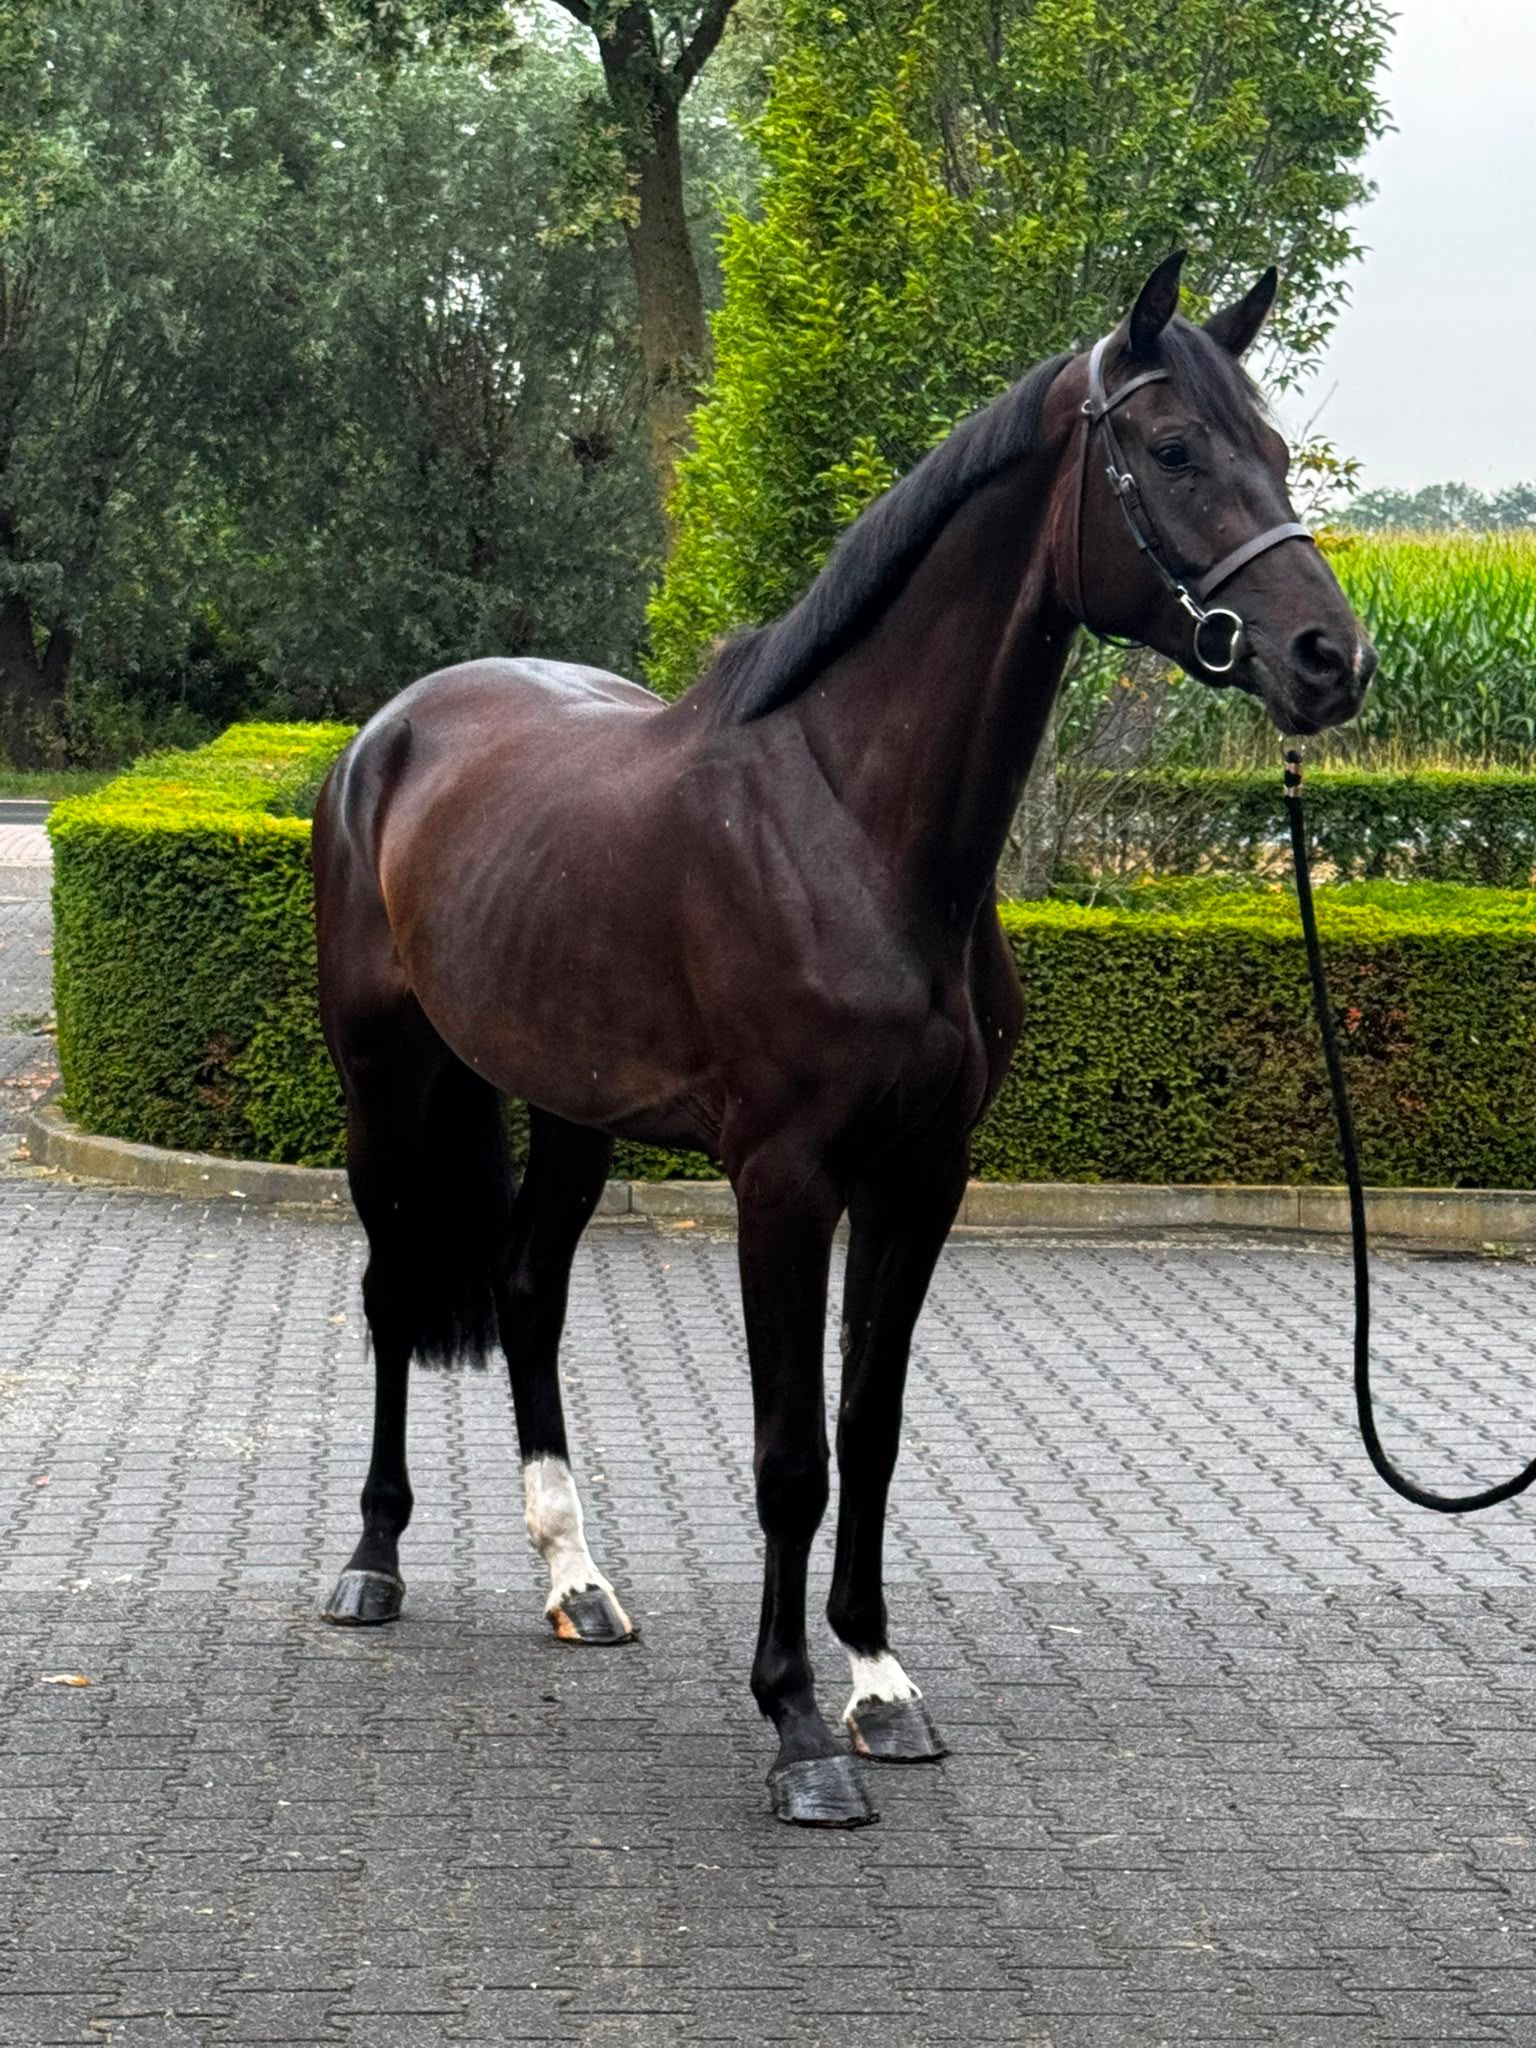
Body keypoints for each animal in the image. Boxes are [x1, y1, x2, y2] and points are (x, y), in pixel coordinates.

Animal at [311, 251, 1374, 1828]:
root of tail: (390, 733)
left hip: (568, 1108)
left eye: (1282, 454)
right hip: (386, 1079)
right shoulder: (785, 1182)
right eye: (1178, 449)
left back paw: (578, 1579)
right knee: (392, 1295)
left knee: (525, 1294)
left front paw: (878, 1684)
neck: (858, 829)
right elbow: (790, 1454)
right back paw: (372, 1563)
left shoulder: (920, 1176)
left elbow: (870, 1426)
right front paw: (798, 1728)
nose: (1329, 661)